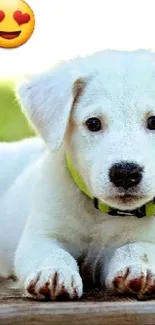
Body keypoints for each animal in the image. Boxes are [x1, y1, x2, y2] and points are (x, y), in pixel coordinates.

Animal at [1, 49, 155, 300]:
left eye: (153, 121)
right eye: (93, 123)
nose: (124, 173)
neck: (101, 213)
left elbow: (138, 247)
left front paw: (138, 267)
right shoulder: (41, 235)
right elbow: (52, 252)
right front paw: (53, 272)